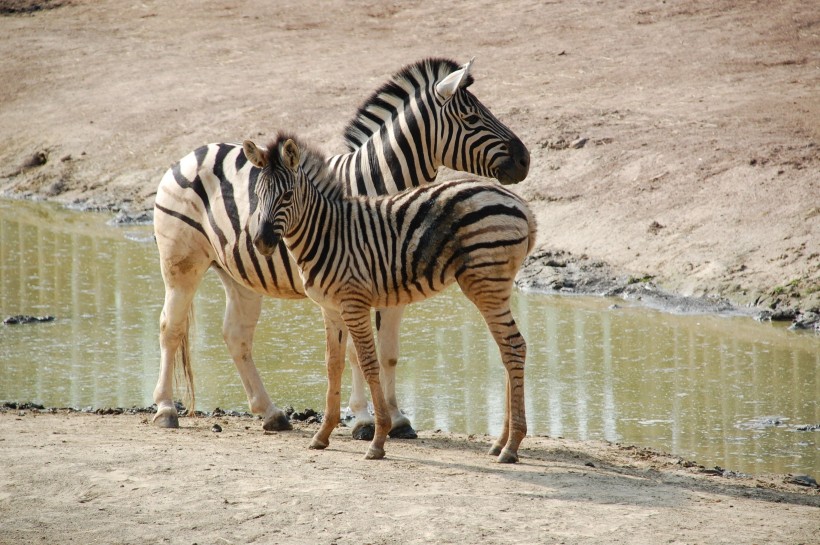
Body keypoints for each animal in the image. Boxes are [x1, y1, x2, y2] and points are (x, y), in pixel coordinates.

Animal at [151, 57, 528, 436]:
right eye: (471, 118)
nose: (525, 159)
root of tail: (192, 153)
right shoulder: (352, 283)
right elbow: (356, 354)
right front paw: (363, 419)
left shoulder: (390, 286)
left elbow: (388, 352)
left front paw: (397, 418)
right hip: (181, 263)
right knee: (171, 327)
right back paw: (166, 409)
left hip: (238, 274)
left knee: (235, 336)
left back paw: (270, 412)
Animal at [242, 134, 540, 462]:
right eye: (256, 195)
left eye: (287, 195)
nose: (261, 242)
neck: (328, 232)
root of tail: (521, 205)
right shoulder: (330, 308)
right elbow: (333, 366)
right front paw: (322, 435)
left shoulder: (354, 302)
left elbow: (368, 363)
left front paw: (378, 439)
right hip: (494, 285)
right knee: (508, 350)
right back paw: (501, 442)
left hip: (486, 282)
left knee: (514, 347)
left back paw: (511, 447)